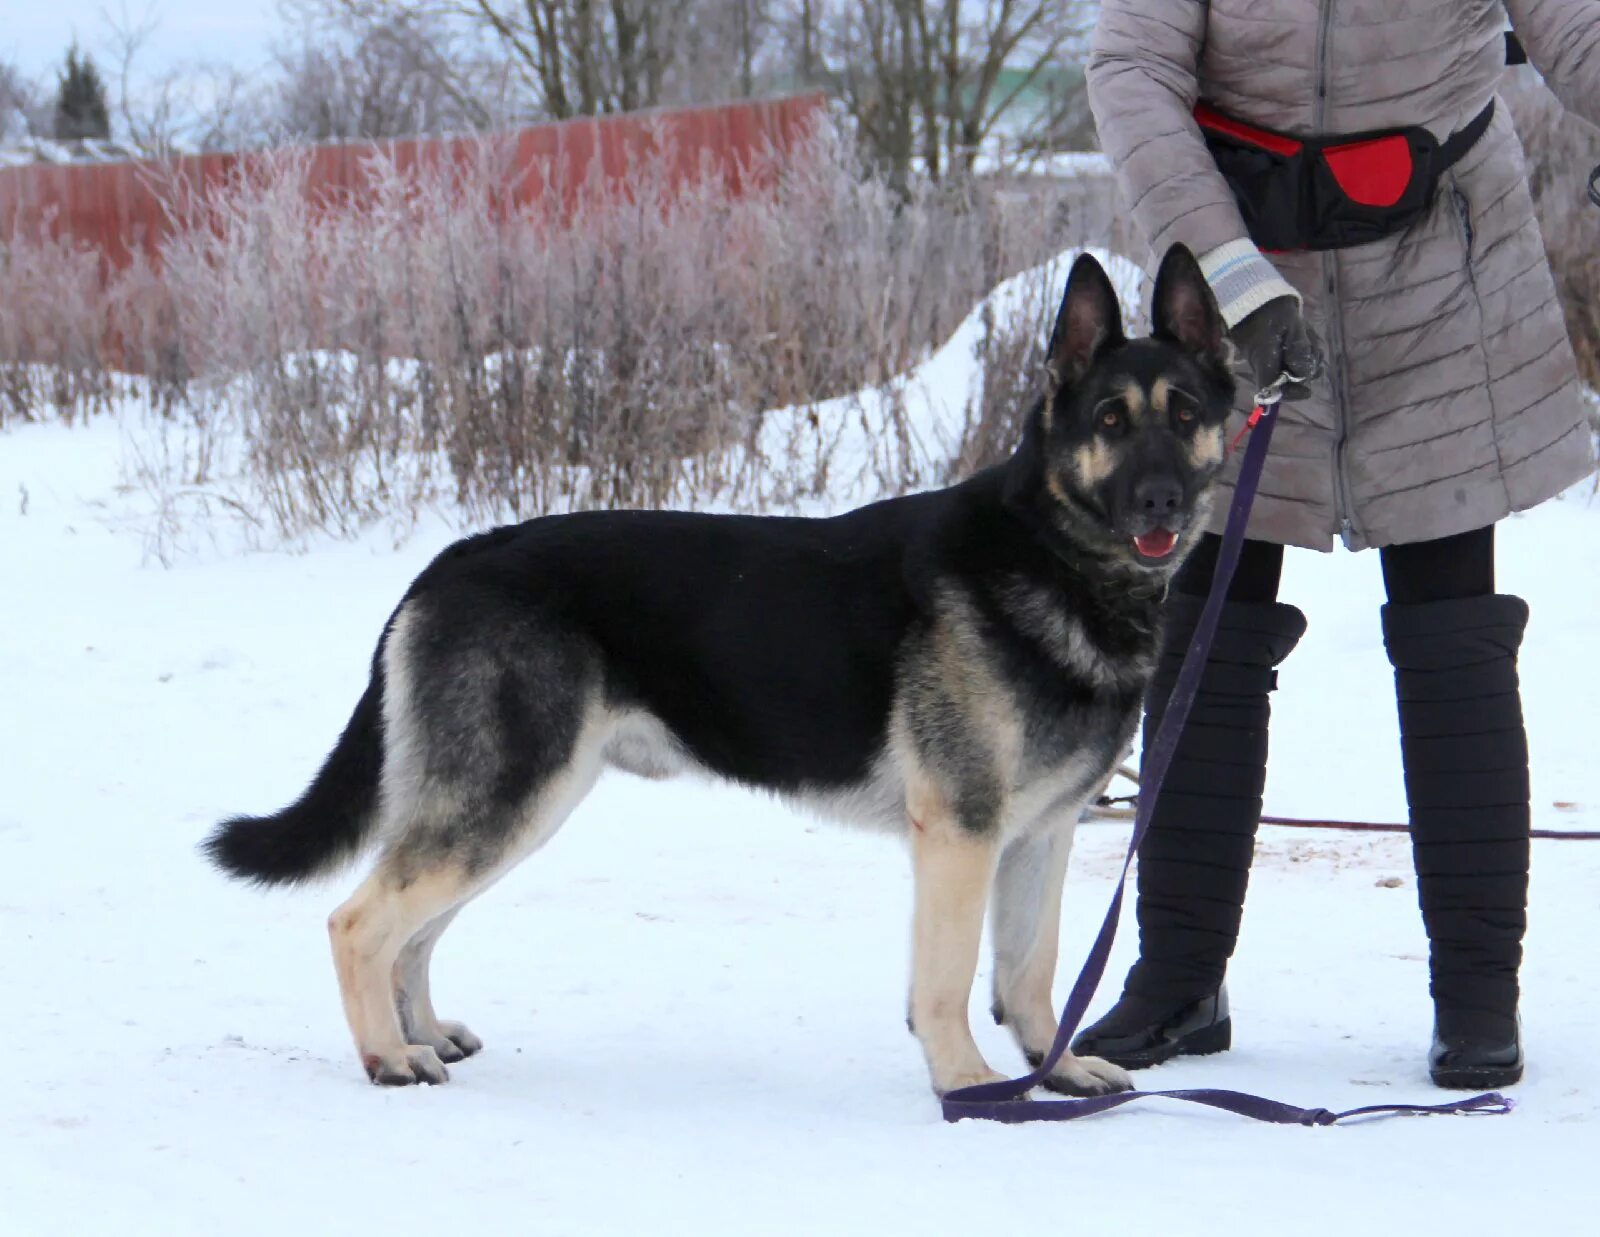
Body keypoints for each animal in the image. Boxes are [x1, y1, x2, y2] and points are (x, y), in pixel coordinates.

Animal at [206, 246, 1235, 1094]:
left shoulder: (1039, 836)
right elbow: (945, 982)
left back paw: (422, 1033)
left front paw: (1053, 1072)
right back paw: (388, 1056)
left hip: (511, 810)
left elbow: (1031, 970)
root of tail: (453, 559)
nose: (1161, 500)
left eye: (1186, 416)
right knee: (360, 921)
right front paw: (968, 1085)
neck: (1054, 558)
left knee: (413, 929)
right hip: (506, 803)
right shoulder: (961, 835)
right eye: (1110, 419)